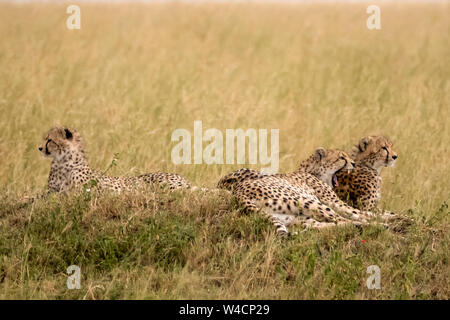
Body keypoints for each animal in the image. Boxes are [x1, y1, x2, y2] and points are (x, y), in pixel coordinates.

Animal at [217, 149, 384, 236]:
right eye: (342, 158)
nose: (354, 163)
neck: (312, 171)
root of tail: (238, 192)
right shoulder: (334, 202)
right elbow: (360, 212)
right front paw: (385, 218)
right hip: (308, 202)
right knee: (340, 219)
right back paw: (378, 225)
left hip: (294, 217)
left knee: (324, 225)